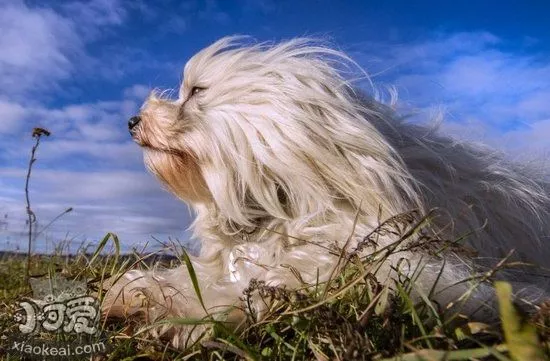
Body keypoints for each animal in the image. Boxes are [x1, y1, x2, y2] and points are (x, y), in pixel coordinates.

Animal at [104, 35, 550, 346]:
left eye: (197, 90)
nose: (132, 121)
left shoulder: (410, 266)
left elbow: (277, 281)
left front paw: (191, 314)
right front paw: (136, 291)